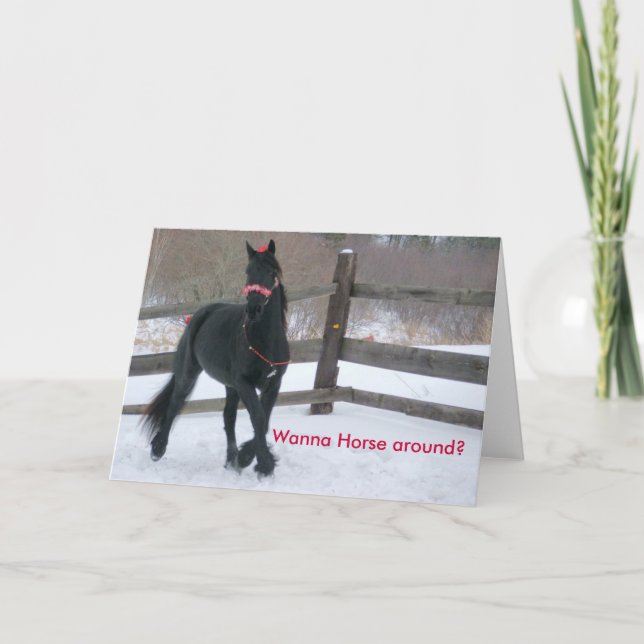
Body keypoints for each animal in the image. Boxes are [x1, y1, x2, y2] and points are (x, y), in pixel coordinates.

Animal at [141, 239, 289, 477]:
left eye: (271, 272)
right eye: (248, 271)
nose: (253, 309)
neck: (265, 341)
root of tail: (201, 313)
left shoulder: (273, 383)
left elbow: (264, 420)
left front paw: (247, 457)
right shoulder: (244, 383)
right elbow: (258, 418)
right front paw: (262, 464)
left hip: (230, 386)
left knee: (228, 418)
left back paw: (231, 460)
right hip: (190, 373)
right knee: (174, 404)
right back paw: (158, 449)